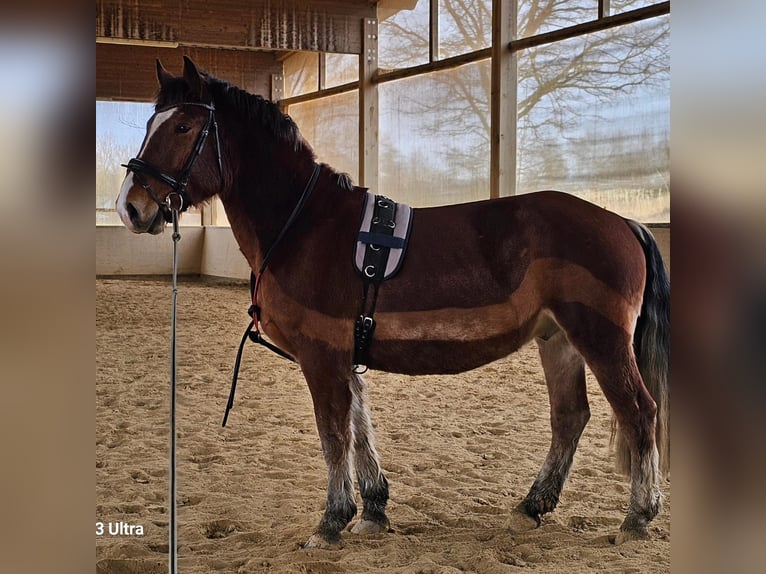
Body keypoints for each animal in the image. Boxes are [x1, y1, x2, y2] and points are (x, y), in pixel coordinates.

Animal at [115, 57, 672, 548]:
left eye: (183, 126)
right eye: (152, 123)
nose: (130, 207)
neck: (303, 225)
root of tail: (623, 222)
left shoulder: (321, 355)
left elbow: (333, 433)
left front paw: (331, 522)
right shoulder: (344, 355)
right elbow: (359, 428)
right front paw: (373, 511)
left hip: (600, 338)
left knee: (638, 411)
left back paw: (636, 518)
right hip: (558, 338)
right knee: (570, 417)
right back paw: (532, 506)